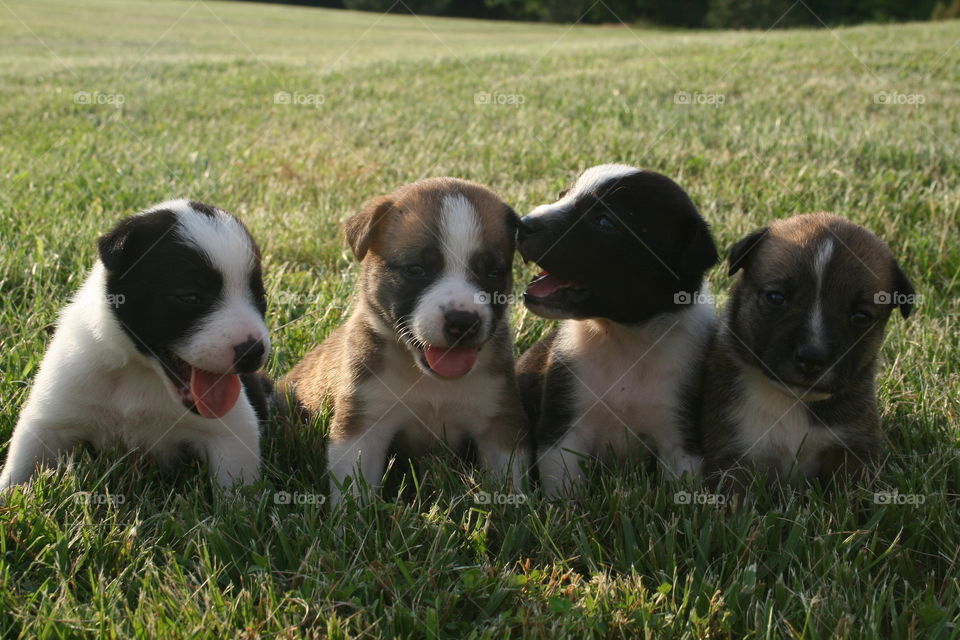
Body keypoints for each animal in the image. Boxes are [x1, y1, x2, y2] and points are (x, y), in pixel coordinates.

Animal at [0, 200, 270, 490]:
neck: (138, 369)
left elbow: (238, 486)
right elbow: (20, 468)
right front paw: (10, 496)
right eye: (190, 297)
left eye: (260, 297)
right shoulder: (49, 417)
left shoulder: (233, 429)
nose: (253, 352)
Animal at [282, 178, 528, 508]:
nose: (463, 321)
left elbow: (509, 479)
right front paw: (351, 517)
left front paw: (514, 508)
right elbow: (353, 485)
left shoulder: (499, 423)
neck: (427, 378)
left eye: (493, 272)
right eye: (416, 270)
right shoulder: (363, 424)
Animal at [516, 164, 720, 496]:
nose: (522, 224)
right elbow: (564, 489)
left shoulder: (680, 443)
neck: (623, 339)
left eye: (604, 221)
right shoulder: (562, 430)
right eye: (563, 195)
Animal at [696, 212, 916, 488]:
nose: (812, 358)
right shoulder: (731, 456)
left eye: (861, 317)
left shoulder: (855, 450)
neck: (792, 400)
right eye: (776, 298)